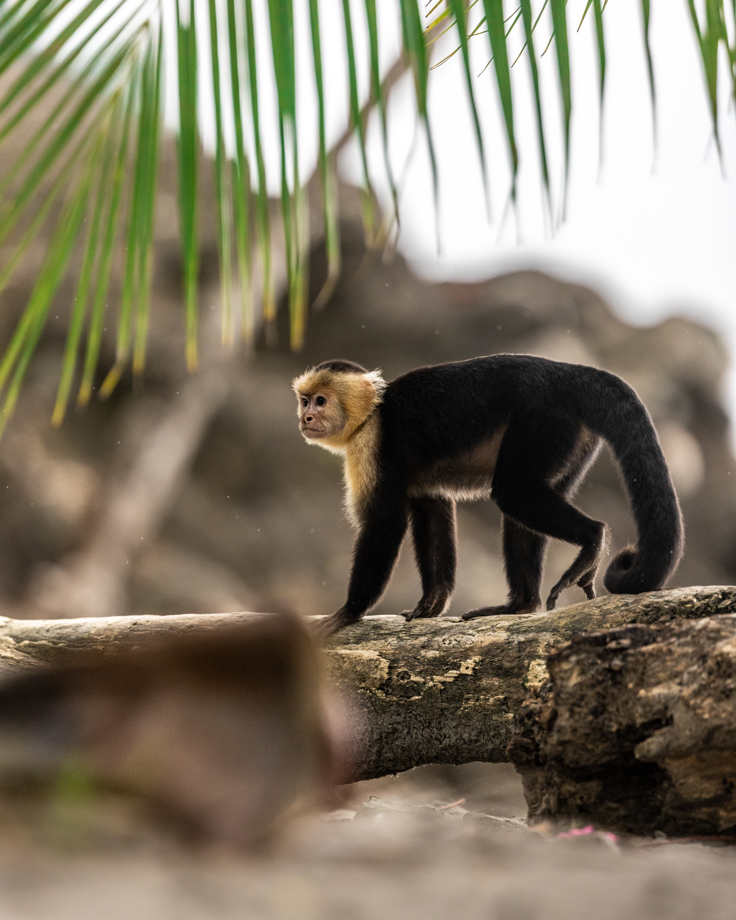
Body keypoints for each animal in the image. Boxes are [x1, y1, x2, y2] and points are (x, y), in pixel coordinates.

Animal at [293, 355, 684, 636]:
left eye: (321, 401)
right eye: (304, 401)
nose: (305, 417)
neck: (374, 413)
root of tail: (565, 373)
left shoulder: (373, 445)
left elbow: (384, 525)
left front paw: (348, 613)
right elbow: (432, 508)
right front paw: (431, 604)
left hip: (544, 418)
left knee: (513, 493)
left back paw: (592, 540)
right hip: (573, 436)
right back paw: (520, 605)